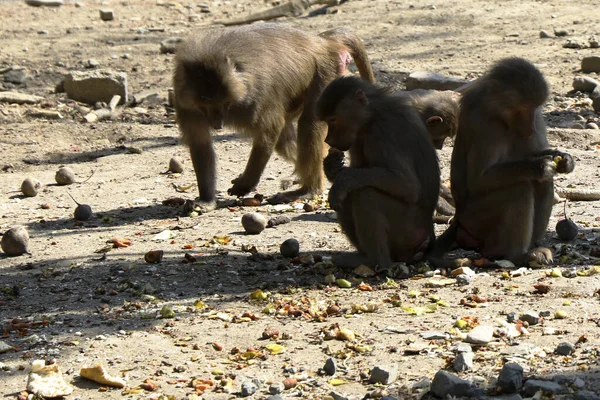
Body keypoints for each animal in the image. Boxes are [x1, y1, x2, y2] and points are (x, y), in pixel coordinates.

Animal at [171, 23, 376, 212]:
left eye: (223, 102)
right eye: (205, 102)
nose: (217, 124)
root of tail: (323, 41)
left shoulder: (257, 97)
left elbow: (269, 132)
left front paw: (245, 184)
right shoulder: (185, 104)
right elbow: (201, 145)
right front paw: (206, 201)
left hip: (327, 72)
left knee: (309, 125)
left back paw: (308, 191)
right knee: (287, 139)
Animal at [316, 76, 438, 272]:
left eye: (333, 119)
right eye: (327, 120)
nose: (328, 140)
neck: (372, 113)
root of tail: (428, 236)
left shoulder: (383, 131)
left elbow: (407, 184)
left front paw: (342, 180)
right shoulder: (358, 136)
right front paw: (332, 167)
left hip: (409, 231)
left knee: (365, 194)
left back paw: (377, 264)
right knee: (350, 195)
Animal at [428, 57, 576, 266]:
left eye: (535, 107)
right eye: (524, 107)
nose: (531, 128)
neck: (497, 110)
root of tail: (458, 219)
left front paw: (565, 160)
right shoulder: (489, 127)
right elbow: (480, 178)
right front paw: (539, 166)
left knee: (543, 184)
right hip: (476, 218)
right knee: (519, 189)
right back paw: (516, 255)